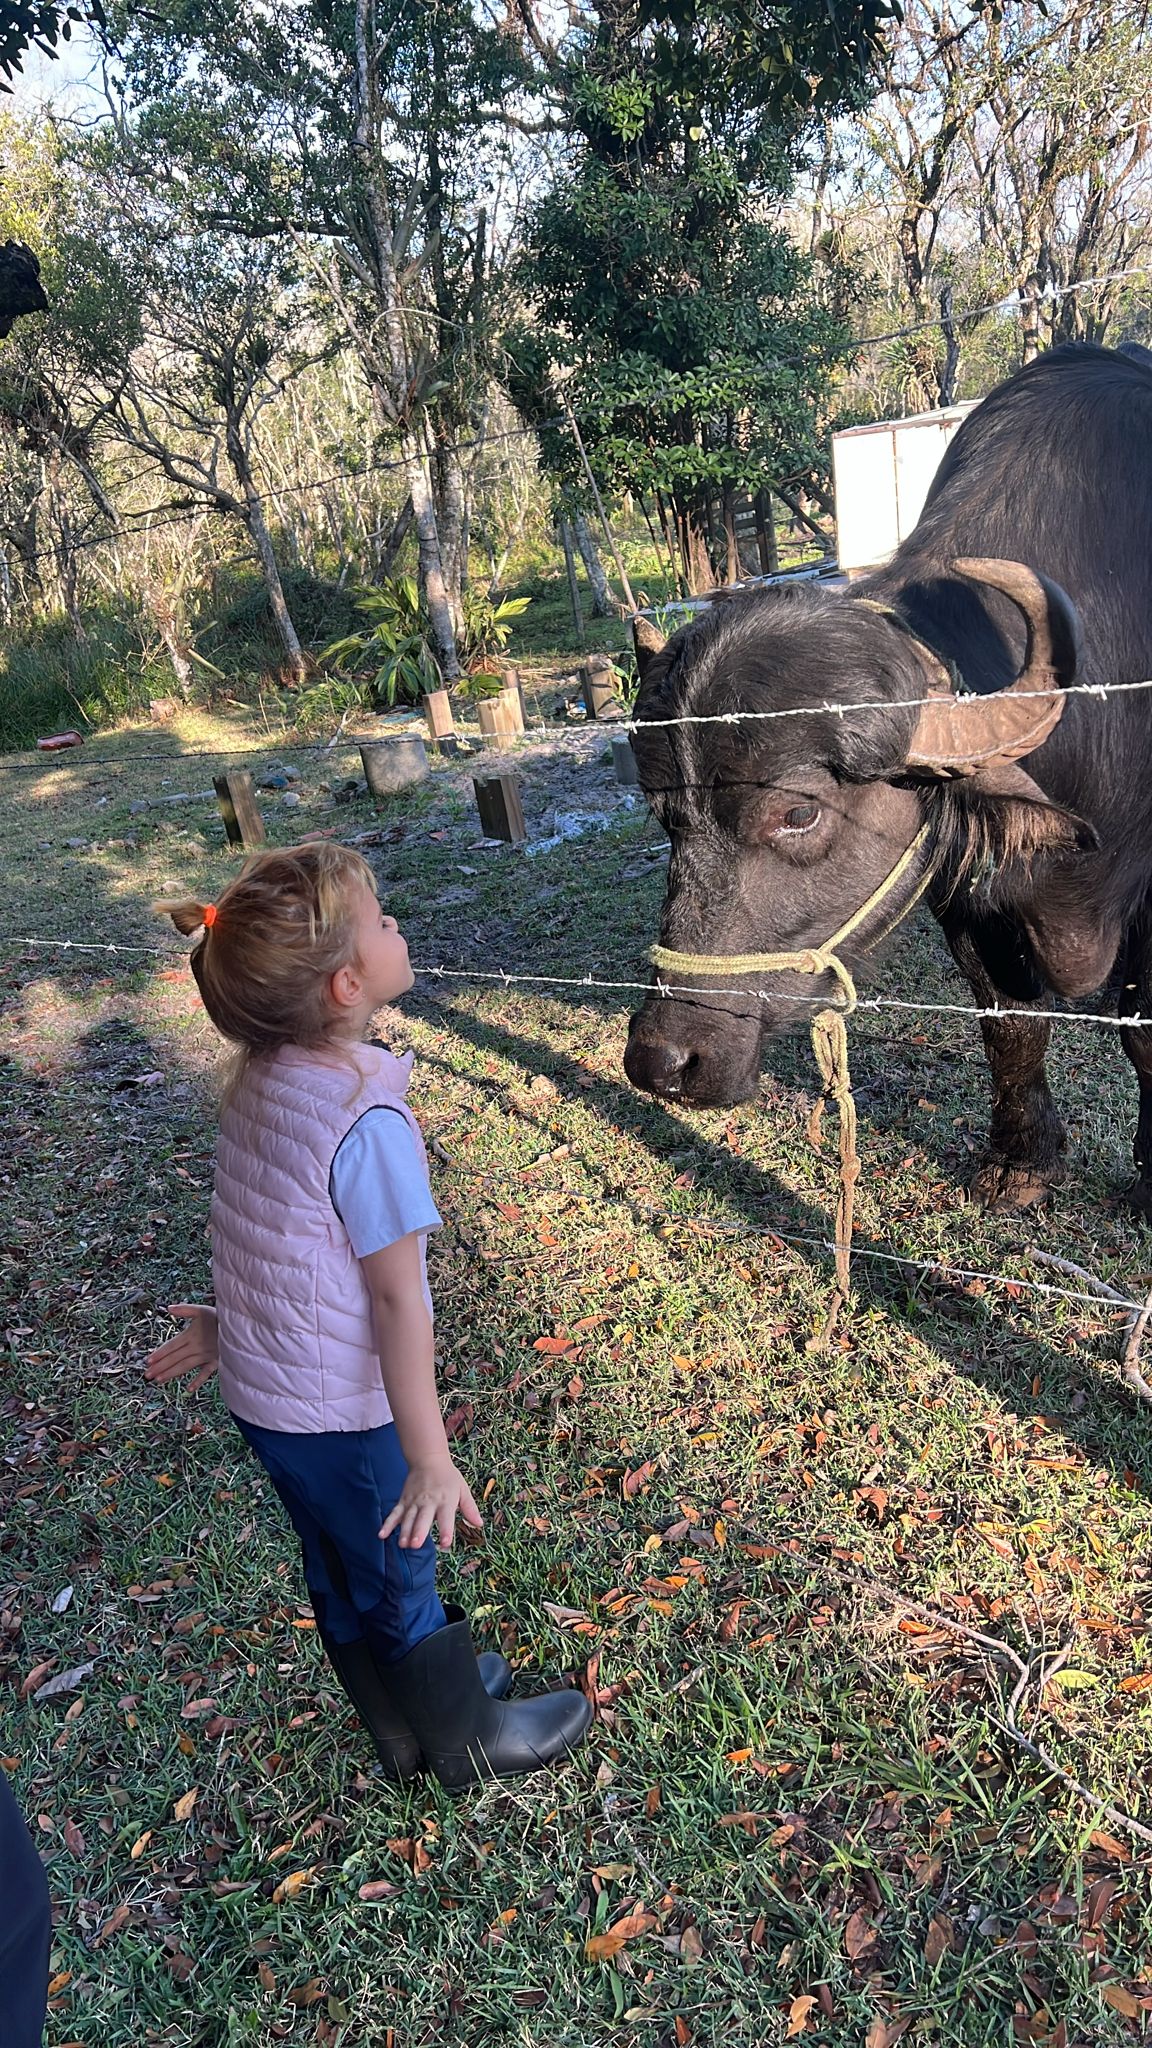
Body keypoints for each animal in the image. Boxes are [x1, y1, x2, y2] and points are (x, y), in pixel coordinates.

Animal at [624, 342, 1152, 1214]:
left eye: (799, 813)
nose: (664, 1061)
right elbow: (1011, 1021)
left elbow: (1143, 1025)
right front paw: (1021, 1160)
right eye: (666, 817)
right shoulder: (964, 896)